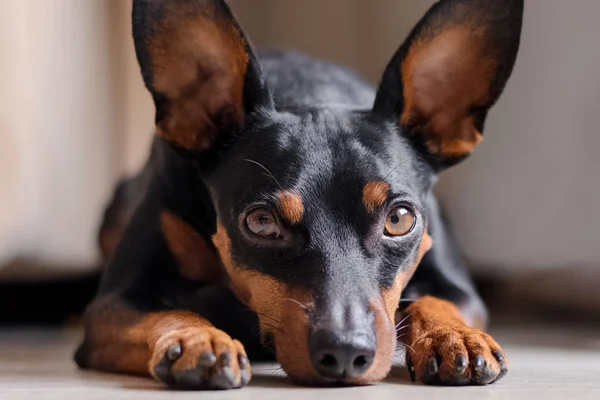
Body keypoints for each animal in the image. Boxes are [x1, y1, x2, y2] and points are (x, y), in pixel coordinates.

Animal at [76, 0, 524, 390]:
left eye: (399, 219)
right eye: (261, 222)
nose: (344, 353)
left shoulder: (457, 286)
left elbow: (435, 300)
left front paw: (455, 336)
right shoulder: (115, 303)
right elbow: (168, 312)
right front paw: (199, 339)